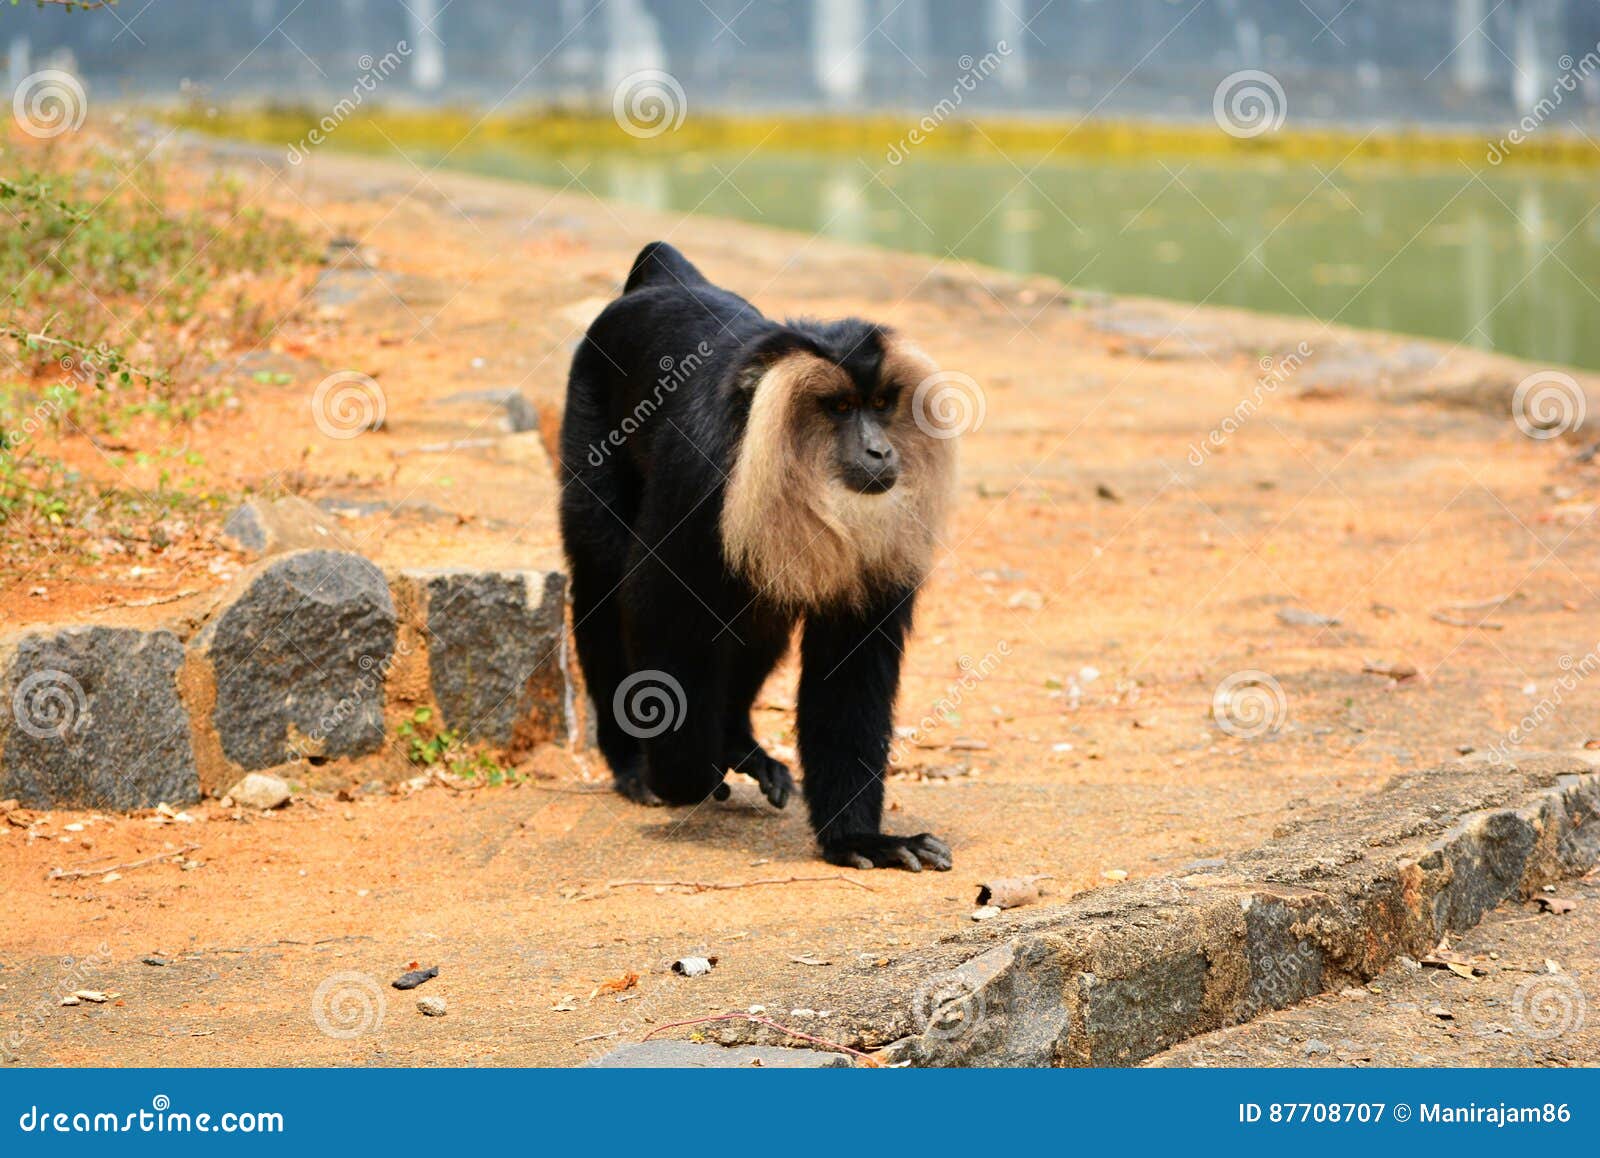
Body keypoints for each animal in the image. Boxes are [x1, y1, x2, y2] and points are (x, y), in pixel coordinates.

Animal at [558, 241, 958, 871]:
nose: (880, 450)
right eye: (839, 407)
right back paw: (633, 764)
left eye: (880, 404)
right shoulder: (700, 472)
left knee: (757, 616)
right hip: (589, 419)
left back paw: (737, 743)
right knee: (602, 576)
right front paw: (684, 778)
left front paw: (857, 838)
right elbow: (656, 613)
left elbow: (852, 659)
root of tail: (667, 281)